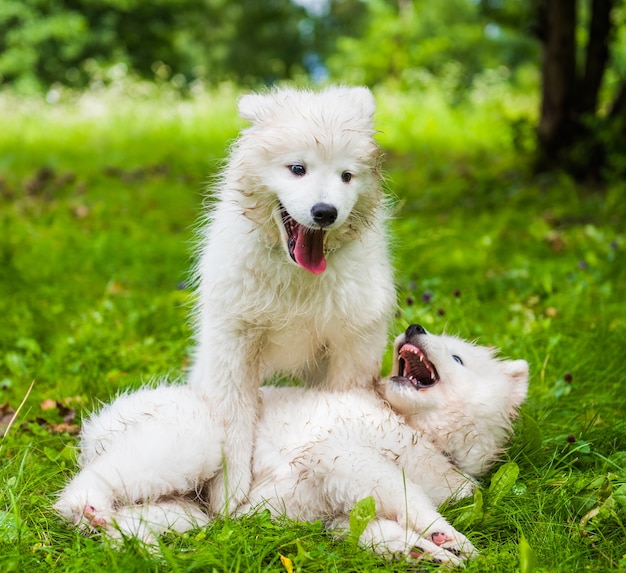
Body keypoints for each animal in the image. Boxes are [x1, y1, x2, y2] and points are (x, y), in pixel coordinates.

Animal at [54, 326, 528, 564]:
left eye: (459, 358)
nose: (414, 326)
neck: (421, 433)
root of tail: (98, 424)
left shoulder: (341, 505)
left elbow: (374, 528)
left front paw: (425, 552)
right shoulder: (341, 457)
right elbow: (406, 495)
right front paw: (445, 535)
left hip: (186, 509)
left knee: (136, 513)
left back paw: (127, 541)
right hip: (193, 438)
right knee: (82, 488)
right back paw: (93, 511)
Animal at [190, 86, 392, 510]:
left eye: (347, 176)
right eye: (297, 168)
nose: (325, 212)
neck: (297, 275)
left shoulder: (352, 343)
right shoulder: (233, 344)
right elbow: (234, 424)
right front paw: (227, 500)